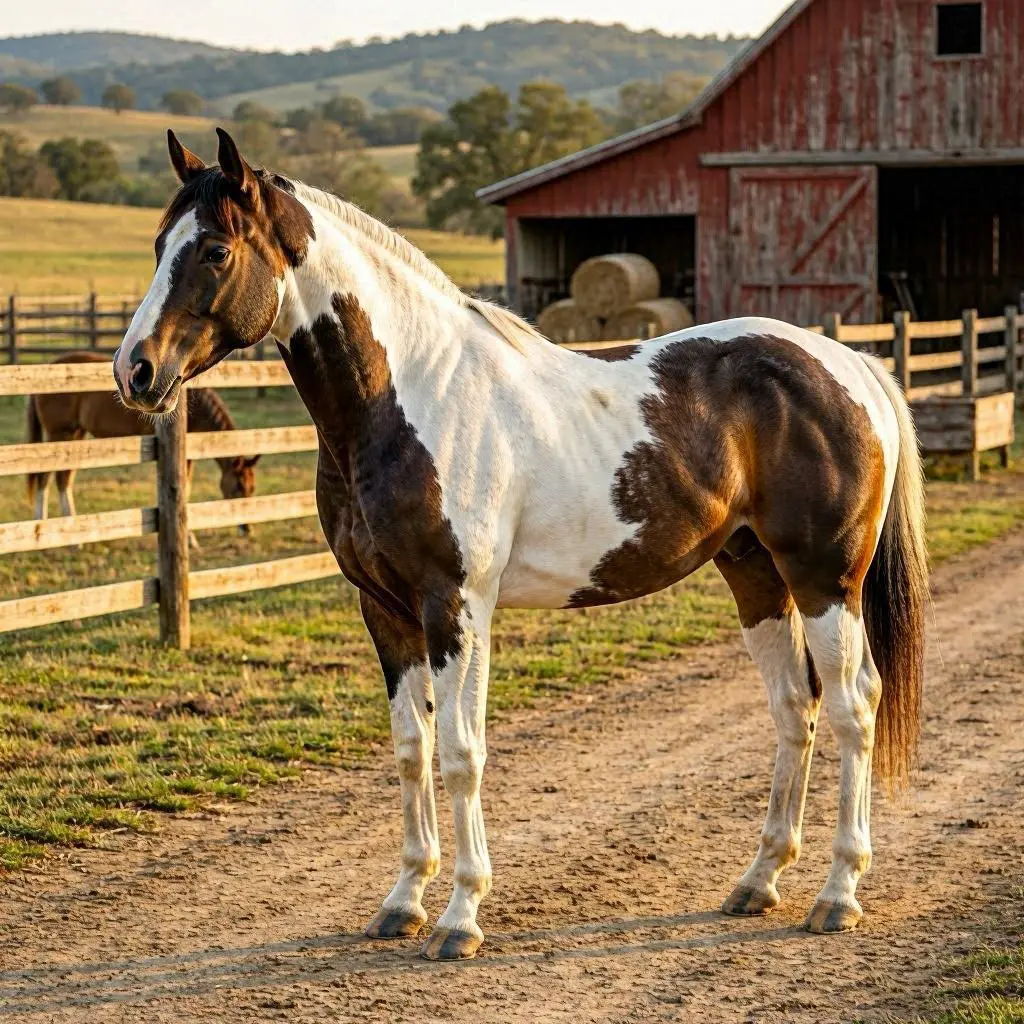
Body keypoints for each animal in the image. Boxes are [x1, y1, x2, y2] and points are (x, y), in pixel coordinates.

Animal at [27, 351, 259, 531]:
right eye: (238, 488)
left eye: (252, 488)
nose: (246, 528)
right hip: (58, 435)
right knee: (45, 477)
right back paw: (41, 525)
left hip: (75, 435)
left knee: (63, 479)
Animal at [111, 128, 928, 962]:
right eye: (159, 244)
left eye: (214, 250)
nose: (135, 370)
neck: (409, 396)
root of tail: (850, 364)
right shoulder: (386, 613)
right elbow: (411, 749)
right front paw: (403, 902)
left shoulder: (456, 607)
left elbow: (460, 752)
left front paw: (460, 916)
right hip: (756, 576)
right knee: (794, 706)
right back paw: (758, 882)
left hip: (825, 579)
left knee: (854, 707)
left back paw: (837, 893)